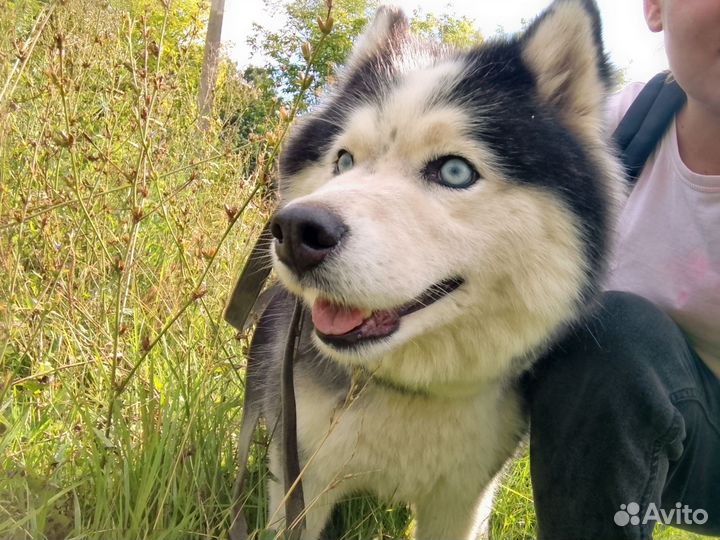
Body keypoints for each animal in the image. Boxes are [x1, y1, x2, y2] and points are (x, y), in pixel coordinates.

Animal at [235, 2, 624, 536]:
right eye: (344, 160)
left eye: (455, 172)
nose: (295, 231)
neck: (410, 389)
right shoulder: (301, 478)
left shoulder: (463, 497)